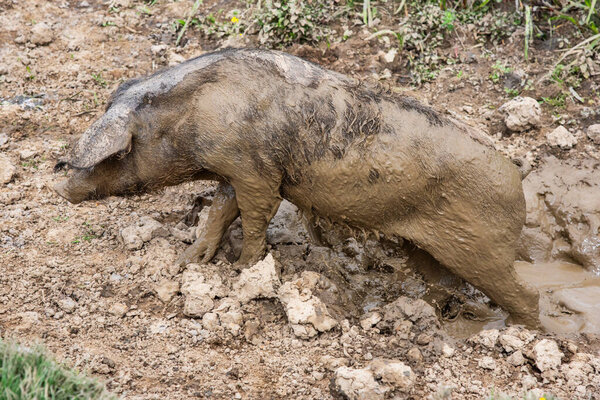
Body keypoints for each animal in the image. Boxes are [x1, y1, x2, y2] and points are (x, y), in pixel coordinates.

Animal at [56, 48, 540, 326]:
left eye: (116, 154)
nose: (61, 188)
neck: (191, 117)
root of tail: (516, 176)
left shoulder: (256, 172)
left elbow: (255, 218)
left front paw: (244, 272)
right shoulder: (233, 173)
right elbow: (219, 212)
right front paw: (188, 262)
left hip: (483, 248)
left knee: (528, 295)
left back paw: (515, 332)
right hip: (428, 246)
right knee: (444, 281)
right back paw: (436, 316)